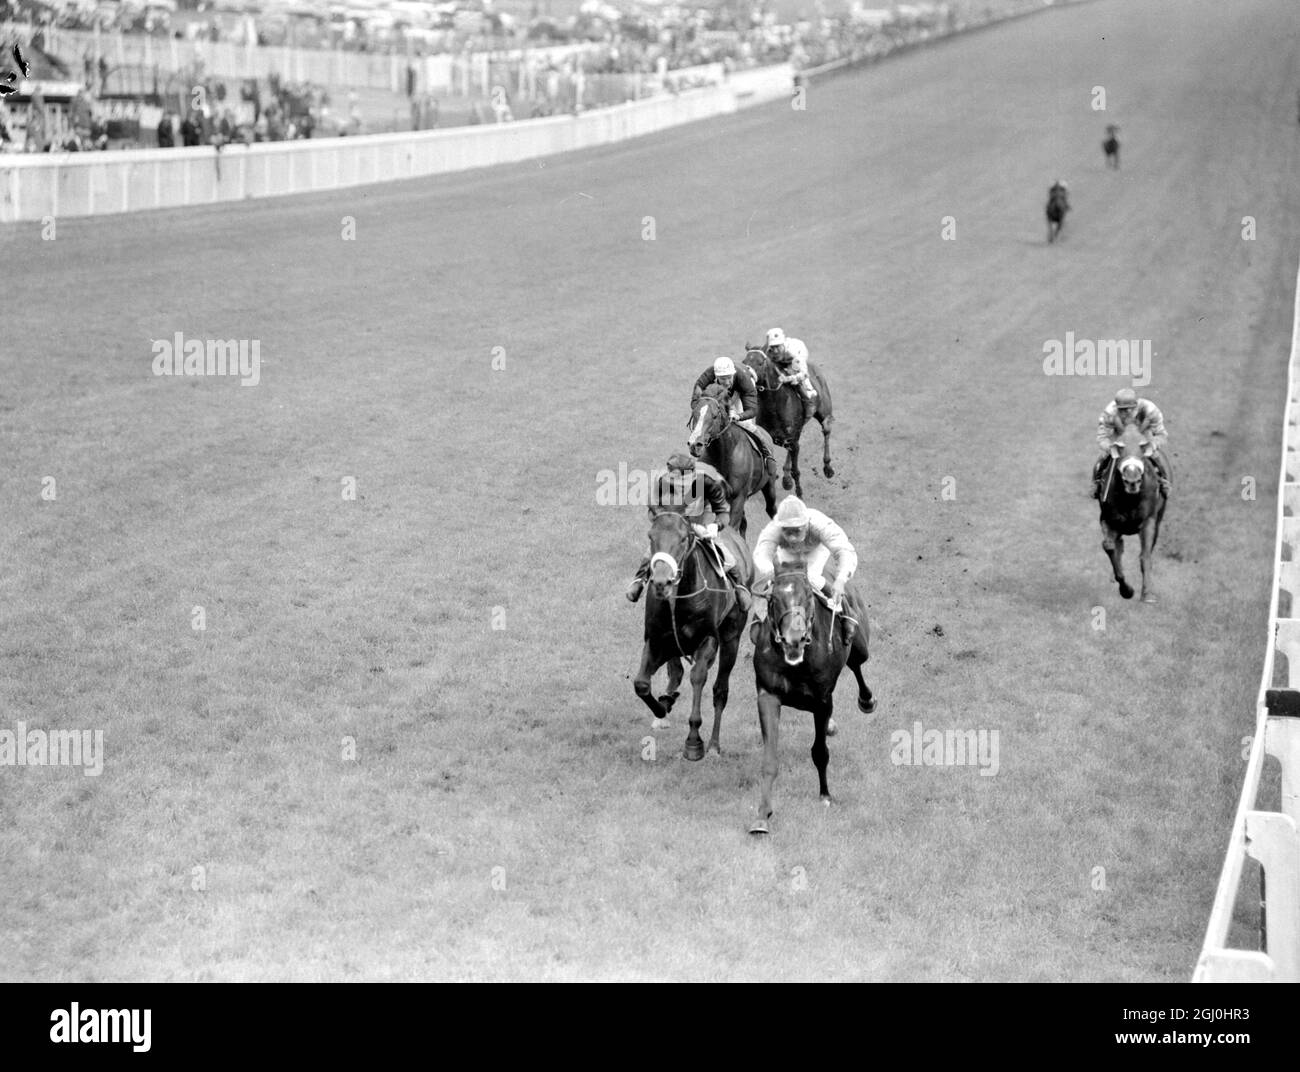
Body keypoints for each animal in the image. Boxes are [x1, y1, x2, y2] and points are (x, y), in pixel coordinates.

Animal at [631, 506, 754, 758]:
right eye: (651, 536)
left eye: (682, 538)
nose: (661, 582)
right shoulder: (656, 640)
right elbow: (642, 684)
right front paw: (663, 706)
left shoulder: (707, 641)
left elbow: (698, 677)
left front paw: (694, 742)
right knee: (676, 672)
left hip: (732, 635)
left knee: (720, 690)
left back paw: (714, 745)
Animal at [686, 382, 774, 535]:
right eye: (695, 413)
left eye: (715, 416)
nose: (694, 445)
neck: (724, 455)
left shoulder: (738, 498)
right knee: (744, 524)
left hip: (769, 487)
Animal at [743, 350, 832, 501]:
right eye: (744, 362)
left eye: (760, 363)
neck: (774, 407)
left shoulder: (794, 441)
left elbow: (796, 471)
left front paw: (800, 495)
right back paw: (786, 478)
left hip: (824, 411)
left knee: (826, 430)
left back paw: (827, 467)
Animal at [754, 563, 873, 831]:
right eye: (774, 598)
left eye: (808, 596)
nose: (793, 639)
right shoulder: (768, 695)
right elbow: (769, 760)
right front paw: (762, 816)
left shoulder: (822, 700)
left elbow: (820, 752)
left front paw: (825, 796)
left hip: (860, 645)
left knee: (858, 665)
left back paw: (867, 700)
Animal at [1097, 421, 1170, 602]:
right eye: (1119, 447)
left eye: (1143, 447)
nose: (1132, 479)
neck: (1130, 498)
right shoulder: (1107, 519)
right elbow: (1109, 546)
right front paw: (1126, 590)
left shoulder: (1149, 521)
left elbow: (1145, 555)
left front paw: (1148, 593)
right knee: (1118, 545)